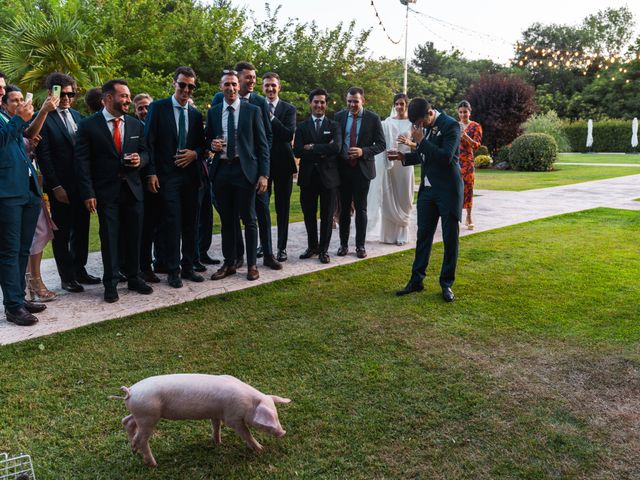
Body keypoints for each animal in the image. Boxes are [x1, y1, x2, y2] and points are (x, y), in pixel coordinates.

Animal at [110, 374, 290, 466]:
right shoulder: (232, 417)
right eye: (268, 421)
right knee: (142, 439)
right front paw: (261, 449)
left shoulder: (216, 413)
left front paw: (218, 442)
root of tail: (130, 391)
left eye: (277, 415)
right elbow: (245, 432)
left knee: (126, 421)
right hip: (148, 416)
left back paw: (133, 450)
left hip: (140, 414)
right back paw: (153, 463)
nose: (283, 432)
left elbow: (216, 426)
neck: (248, 403)